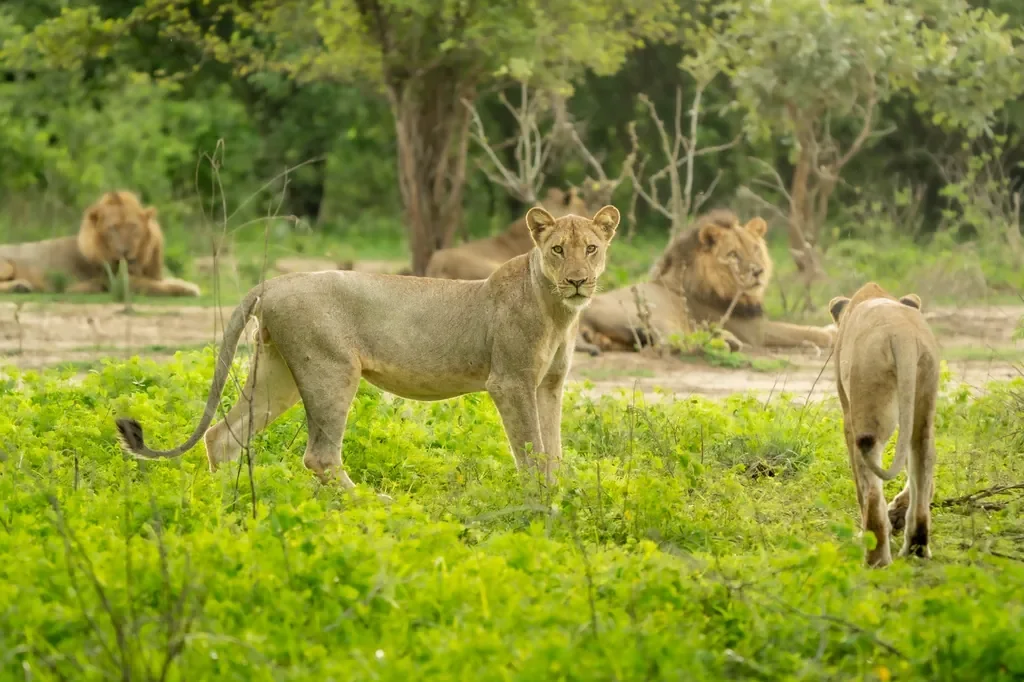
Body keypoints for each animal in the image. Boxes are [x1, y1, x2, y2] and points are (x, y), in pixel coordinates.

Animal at [0, 190, 201, 297]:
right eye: (112, 228)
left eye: (133, 226)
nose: (124, 251)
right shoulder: (117, 282)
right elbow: (158, 286)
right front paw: (190, 289)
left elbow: (169, 280)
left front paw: (189, 284)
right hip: (7, 265)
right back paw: (21, 286)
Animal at [114, 205, 622, 489]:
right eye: (558, 249)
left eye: (591, 248)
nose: (579, 280)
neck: (557, 310)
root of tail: (274, 282)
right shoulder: (510, 382)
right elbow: (531, 449)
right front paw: (541, 507)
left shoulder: (549, 386)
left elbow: (553, 449)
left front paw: (559, 496)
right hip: (330, 370)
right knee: (319, 456)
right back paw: (374, 503)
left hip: (278, 373)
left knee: (222, 436)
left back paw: (229, 508)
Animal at [578, 209, 836, 354]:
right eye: (733, 255)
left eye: (755, 249)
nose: (758, 271)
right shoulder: (754, 330)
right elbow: (799, 330)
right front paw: (829, 336)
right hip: (654, 314)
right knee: (670, 343)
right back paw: (728, 342)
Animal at [828, 281, 940, 568]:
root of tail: (901, 335)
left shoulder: (848, 413)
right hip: (923, 402)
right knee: (923, 459)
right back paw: (916, 547)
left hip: (868, 410)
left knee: (870, 487)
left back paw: (875, 557)